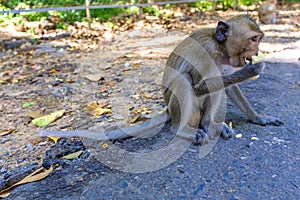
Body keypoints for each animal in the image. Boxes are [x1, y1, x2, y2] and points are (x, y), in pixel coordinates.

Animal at [40, 14, 284, 145]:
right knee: (184, 81)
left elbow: (230, 88)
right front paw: (251, 71)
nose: (258, 50)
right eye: (253, 39)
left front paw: (259, 118)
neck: (221, 48)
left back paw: (211, 125)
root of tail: (169, 110)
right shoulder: (206, 55)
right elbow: (199, 86)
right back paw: (185, 130)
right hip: (176, 106)